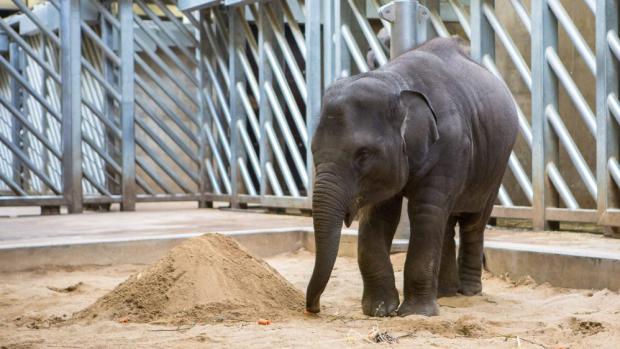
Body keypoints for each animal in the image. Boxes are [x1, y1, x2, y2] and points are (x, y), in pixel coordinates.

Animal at [306, 37, 520, 316]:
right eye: (312, 150)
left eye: (363, 154)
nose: (316, 308)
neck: (396, 82)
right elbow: (378, 217)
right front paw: (380, 311)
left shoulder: (449, 145)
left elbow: (425, 212)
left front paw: (416, 313)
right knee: (447, 223)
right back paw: (446, 293)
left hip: (497, 164)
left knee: (473, 222)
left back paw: (468, 292)